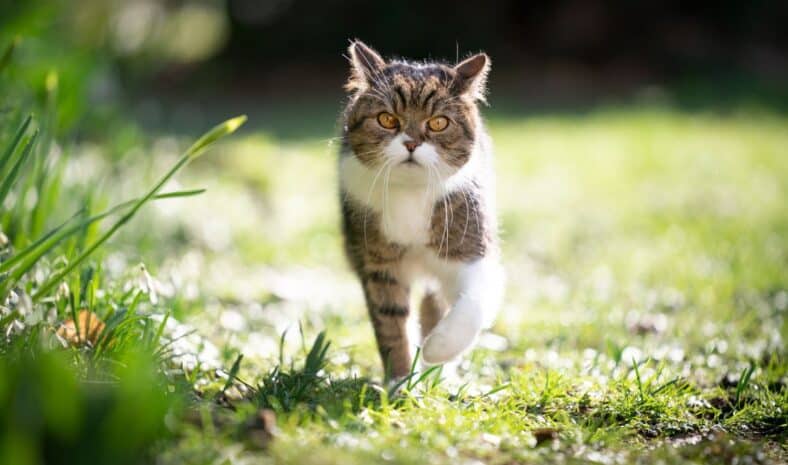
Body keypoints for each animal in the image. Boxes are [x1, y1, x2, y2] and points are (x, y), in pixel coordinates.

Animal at [338, 40, 504, 380]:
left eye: (438, 122)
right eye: (387, 119)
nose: (412, 143)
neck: (411, 192)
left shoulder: (473, 249)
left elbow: (473, 303)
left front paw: (437, 349)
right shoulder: (378, 265)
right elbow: (391, 324)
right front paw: (399, 380)